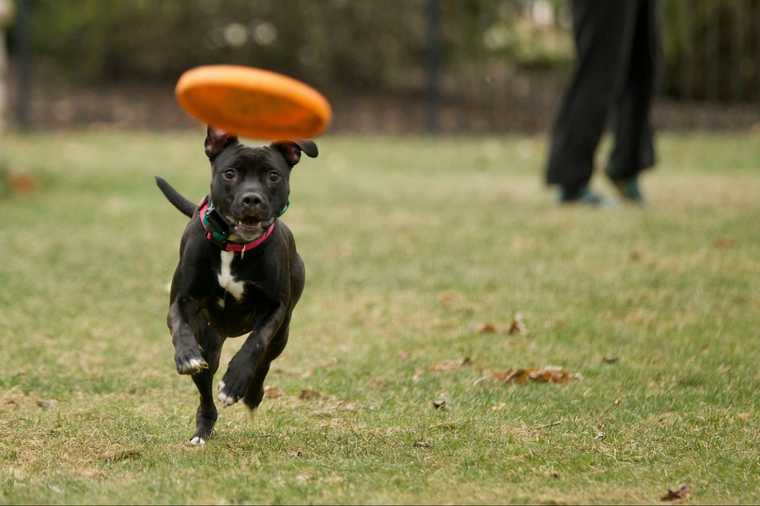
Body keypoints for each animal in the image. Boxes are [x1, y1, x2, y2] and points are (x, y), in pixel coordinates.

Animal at [156, 126, 316, 442]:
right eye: (230, 173)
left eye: (273, 175)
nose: (251, 199)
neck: (234, 246)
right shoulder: (181, 300)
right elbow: (179, 326)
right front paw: (186, 356)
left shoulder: (275, 309)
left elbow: (255, 344)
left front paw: (234, 383)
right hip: (209, 341)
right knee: (205, 391)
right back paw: (202, 430)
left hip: (282, 334)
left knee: (265, 360)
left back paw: (251, 394)